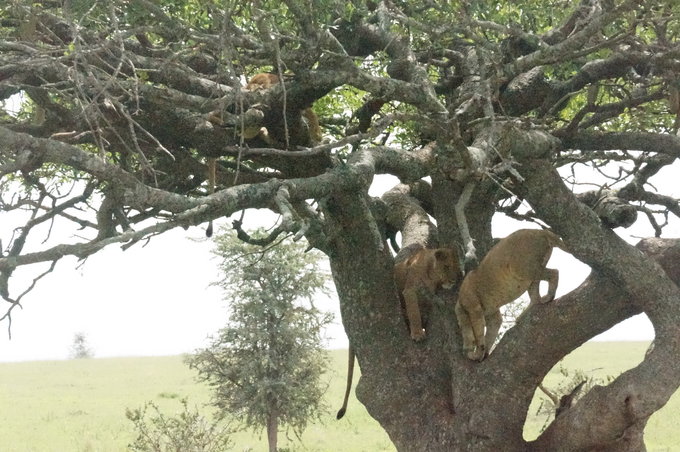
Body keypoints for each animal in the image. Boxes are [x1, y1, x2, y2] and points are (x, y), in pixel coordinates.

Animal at [454, 230, 572, 360]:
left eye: (460, 326)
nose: (464, 350)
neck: (460, 303)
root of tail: (540, 231)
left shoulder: (474, 308)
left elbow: (479, 333)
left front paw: (477, 354)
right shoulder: (493, 314)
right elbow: (490, 333)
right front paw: (484, 354)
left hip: (523, 268)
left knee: (554, 272)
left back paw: (549, 297)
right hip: (533, 271)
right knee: (535, 298)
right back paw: (522, 316)